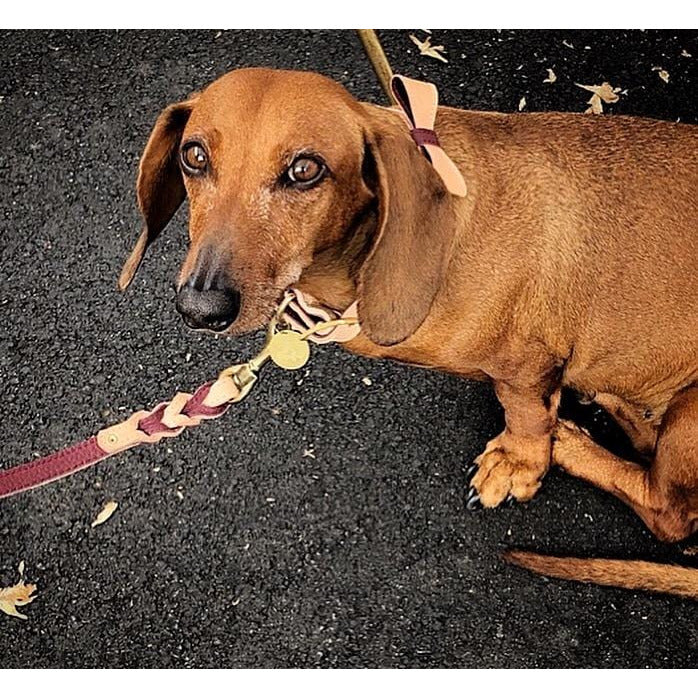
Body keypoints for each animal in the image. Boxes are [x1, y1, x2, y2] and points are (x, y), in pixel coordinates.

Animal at [118, 68, 696, 596]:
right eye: (194, 156)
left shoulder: (527, 366)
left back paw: (573, 444)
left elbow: (527, 419)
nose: (200, 307)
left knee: (670, 510)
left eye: (305, 170)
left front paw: (519, 465)